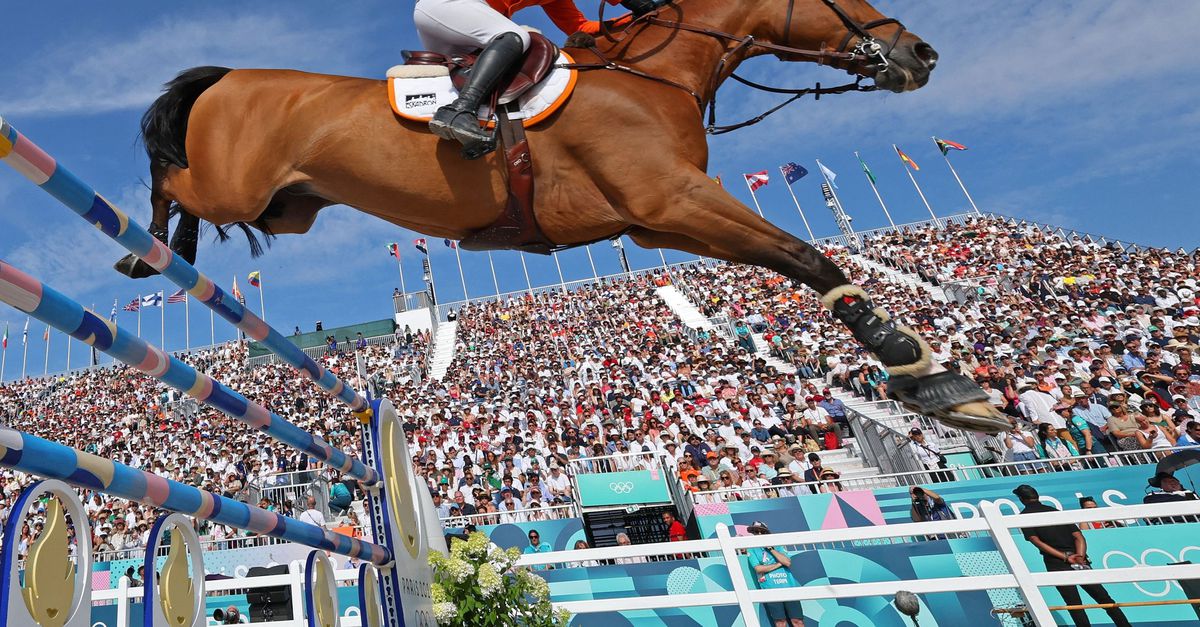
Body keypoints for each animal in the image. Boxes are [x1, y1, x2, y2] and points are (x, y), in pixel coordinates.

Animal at [117, 0, 1008, 430]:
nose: (921, 52)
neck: (657, 73)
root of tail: (228, 75)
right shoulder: (675, 199)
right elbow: (807, 255)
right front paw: (927, 371)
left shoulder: (660, 218)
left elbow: (788, 257)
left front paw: (932, 376)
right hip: (233, 183)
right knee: (167, 174)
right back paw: (143, 252)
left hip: (289, 206)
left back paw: (175, 256)